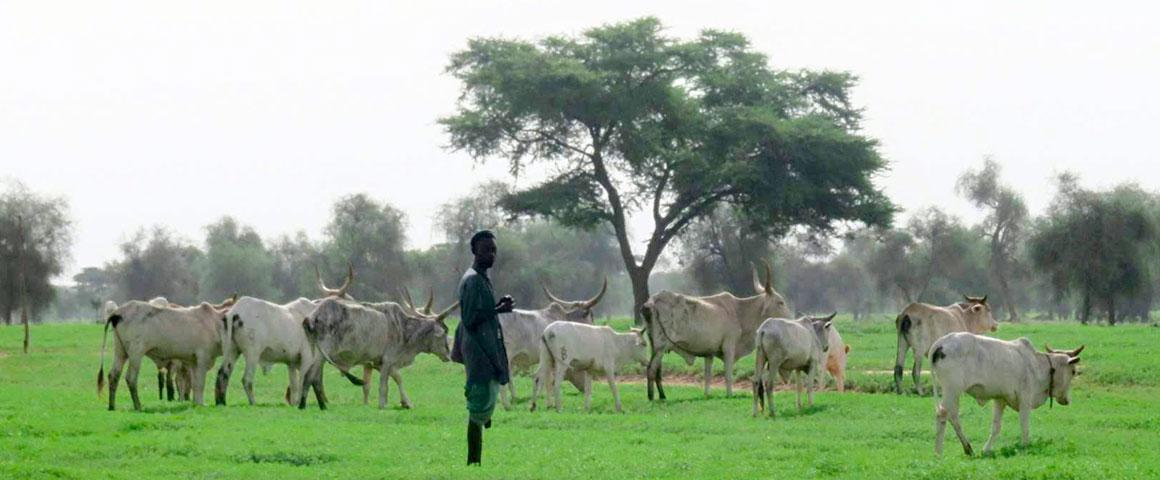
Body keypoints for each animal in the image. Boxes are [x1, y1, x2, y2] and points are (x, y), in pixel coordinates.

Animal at [301, 296, 454, 408]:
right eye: (445, 332)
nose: (449, 354)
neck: (404, 328)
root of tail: (313, 316)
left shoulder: (378, 363)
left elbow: (397, 378)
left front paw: (406, 403)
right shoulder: (388, 360)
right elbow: (384, 385)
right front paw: (383, 405)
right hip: (321, 354)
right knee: (313, 377)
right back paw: (313, 404)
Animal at [640, 260, 793, 398]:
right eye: (780, 302)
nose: (790, 318)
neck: (739, 312)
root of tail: (651, 302)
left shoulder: (709, 353)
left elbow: (708, 375)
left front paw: (707, 394)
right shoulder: (729, 347)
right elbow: (728, 373)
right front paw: (730, 394)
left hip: (655, 345)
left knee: (657, 371)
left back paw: (661, 395)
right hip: (661, 346)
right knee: (651, 370)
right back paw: (653, 397)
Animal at [928, 331, 1081, 454]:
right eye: (1073, 371)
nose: (1066, 400)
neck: (1038, 365)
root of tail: (941, 343)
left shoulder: (1000, 399)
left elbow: (996, 427)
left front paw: (986, 450)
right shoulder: (1025, 398)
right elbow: (1024, 424)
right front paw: (1025, 446)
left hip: (953, 392)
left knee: (952, 416)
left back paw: (968, 449)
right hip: (952, 389)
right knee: (943, 414)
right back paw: (938, 452)